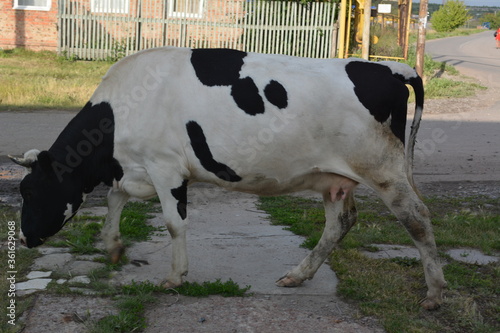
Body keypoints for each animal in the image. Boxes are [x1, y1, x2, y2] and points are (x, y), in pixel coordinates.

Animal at [9, 46, 446, 308]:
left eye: (29, 191)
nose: (24, 239)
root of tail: (390, 66)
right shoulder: (135, 168)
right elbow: (116, 200)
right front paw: (114, 246)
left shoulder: (166, 167)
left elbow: (173, 224)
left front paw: (175, 277)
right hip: (335, 178)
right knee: (340, 223)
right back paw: (297, 275)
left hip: (385, 168)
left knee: (418, 219)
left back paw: (435, 293)